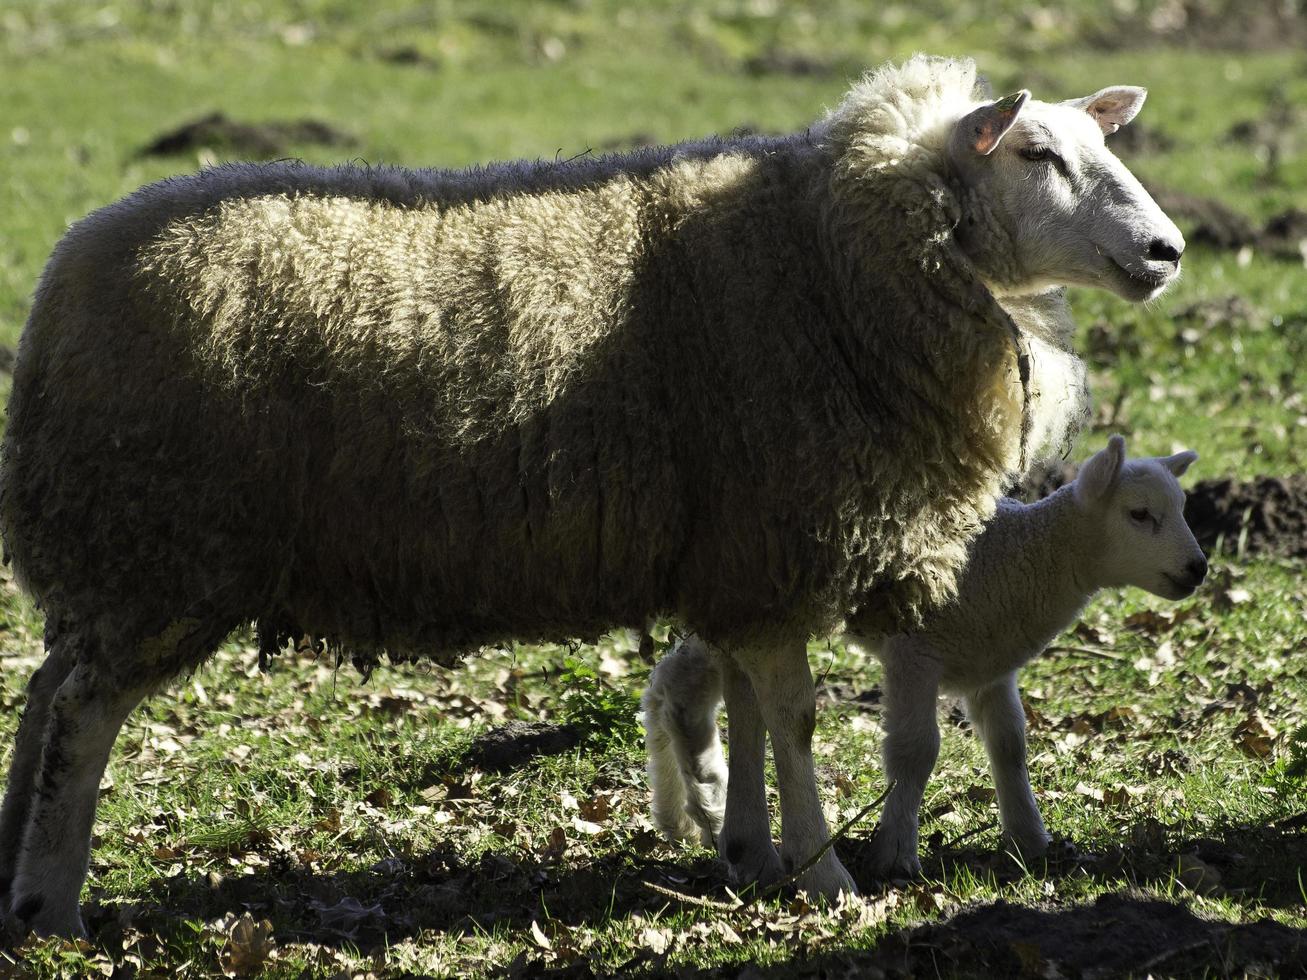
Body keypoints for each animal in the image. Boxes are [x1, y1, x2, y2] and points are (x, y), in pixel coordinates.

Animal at [643, 436, 1202, 883]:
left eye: (1182, 508)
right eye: (1139, 514)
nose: (1198, 568)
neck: (1018, 556)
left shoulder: (990, 662)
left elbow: (1010, 744)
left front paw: (1029, 839)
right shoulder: (915, 653)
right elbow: (917, 750)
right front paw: (893, 854)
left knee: (673, 679)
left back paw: (682, 815)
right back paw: (700, 807)